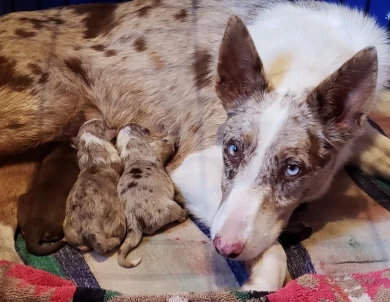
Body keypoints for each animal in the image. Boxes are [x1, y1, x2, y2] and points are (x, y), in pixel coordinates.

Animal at [63, 119, 125, 255]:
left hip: (69, 230)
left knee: (81, 246)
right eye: (105, 125)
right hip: (118, 221)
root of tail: (89, 226)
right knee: (115, 239)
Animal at [116, 123, 188, 268]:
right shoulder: (160, 147)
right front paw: (173, 134)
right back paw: (186, 212)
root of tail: (132, 217)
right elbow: (167, 142)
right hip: (171, 208)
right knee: (179, 216)